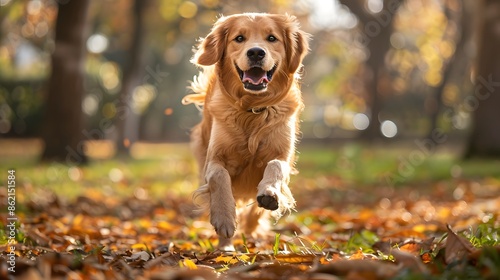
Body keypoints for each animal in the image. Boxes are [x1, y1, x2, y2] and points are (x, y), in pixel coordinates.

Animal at [183, 13, 308, 249]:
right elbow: (219, 177)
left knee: (255, 214)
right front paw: (224, 219)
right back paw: (225, 246)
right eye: (239, 38)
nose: (256, 52)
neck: (253, 109)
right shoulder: (214, 159)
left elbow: (275, 165)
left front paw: (269, 192)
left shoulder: (283, 156)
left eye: (272, 38)